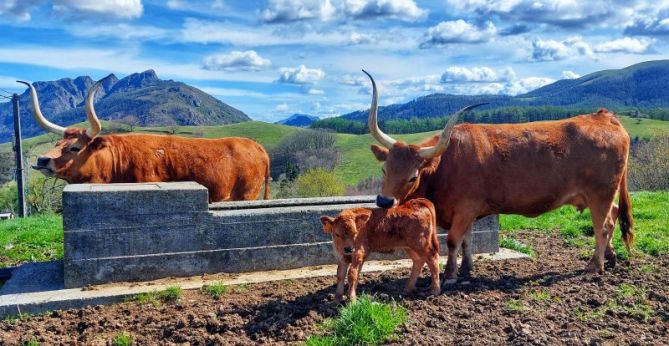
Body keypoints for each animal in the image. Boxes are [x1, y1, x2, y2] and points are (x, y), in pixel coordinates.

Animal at [362, 70, 636, 284]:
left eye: (412, 176)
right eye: (385, 169)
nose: (384, 201)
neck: (448, 162)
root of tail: (603, 116)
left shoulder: (465, 208)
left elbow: (453, 241)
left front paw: (450, 274)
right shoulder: (466, 212)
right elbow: (467, 241)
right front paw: (466, 269)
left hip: (600, 193)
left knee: (602, 226)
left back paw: (594, 266)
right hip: (598, 195)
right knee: (612, 216)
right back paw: (610, 258)